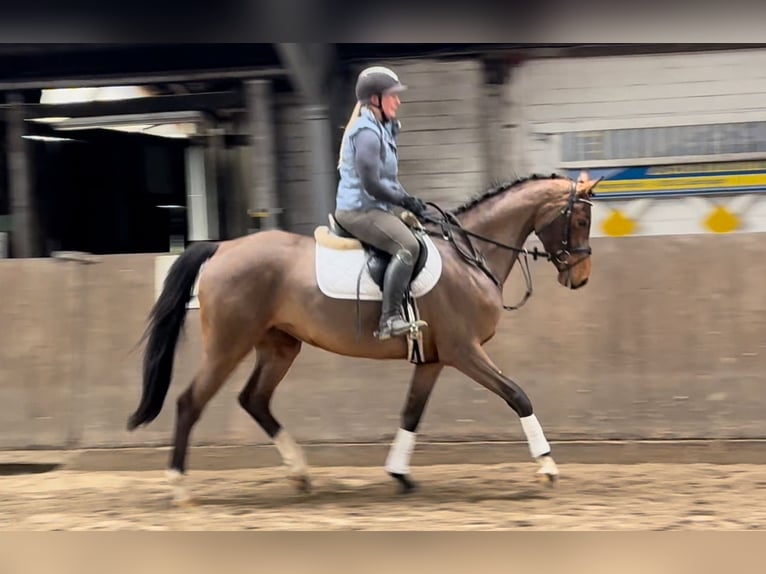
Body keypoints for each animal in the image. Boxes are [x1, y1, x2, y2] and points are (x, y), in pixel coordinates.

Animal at [127, 170, 600, 504]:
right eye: (579, 219)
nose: (580, 278)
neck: (468, 256)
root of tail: (222, 247)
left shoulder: (433, 359)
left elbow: (411, 413)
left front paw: (400, 475)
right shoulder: (464, 351)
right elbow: (517, 395)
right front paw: (548, 467)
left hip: (279, 346)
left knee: (254, 399)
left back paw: (300, 474)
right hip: (229, 345)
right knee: (190, 402)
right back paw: (180, 487)